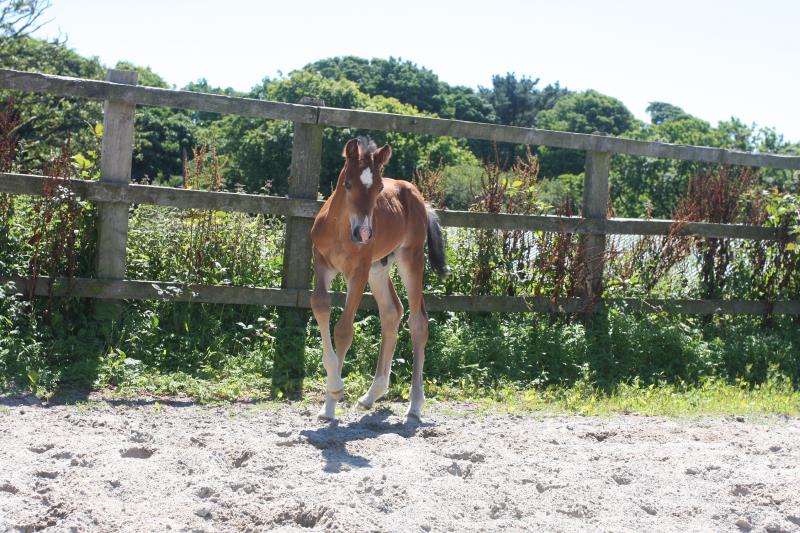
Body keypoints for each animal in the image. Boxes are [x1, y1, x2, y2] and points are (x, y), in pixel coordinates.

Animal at [310, 136, 446, 420]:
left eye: (379, 188)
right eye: (348, 183)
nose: (363, 234)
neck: (340, 230)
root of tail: (419, 198)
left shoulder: (358, 271)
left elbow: (344, 329)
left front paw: (335, 393)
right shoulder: (321, 263)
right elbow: (320, 306)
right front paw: (328, 406)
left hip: (410, 259)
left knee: (418, 322)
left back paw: (415, 404)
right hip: (379, 268)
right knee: (392, 312)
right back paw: (371, 395)